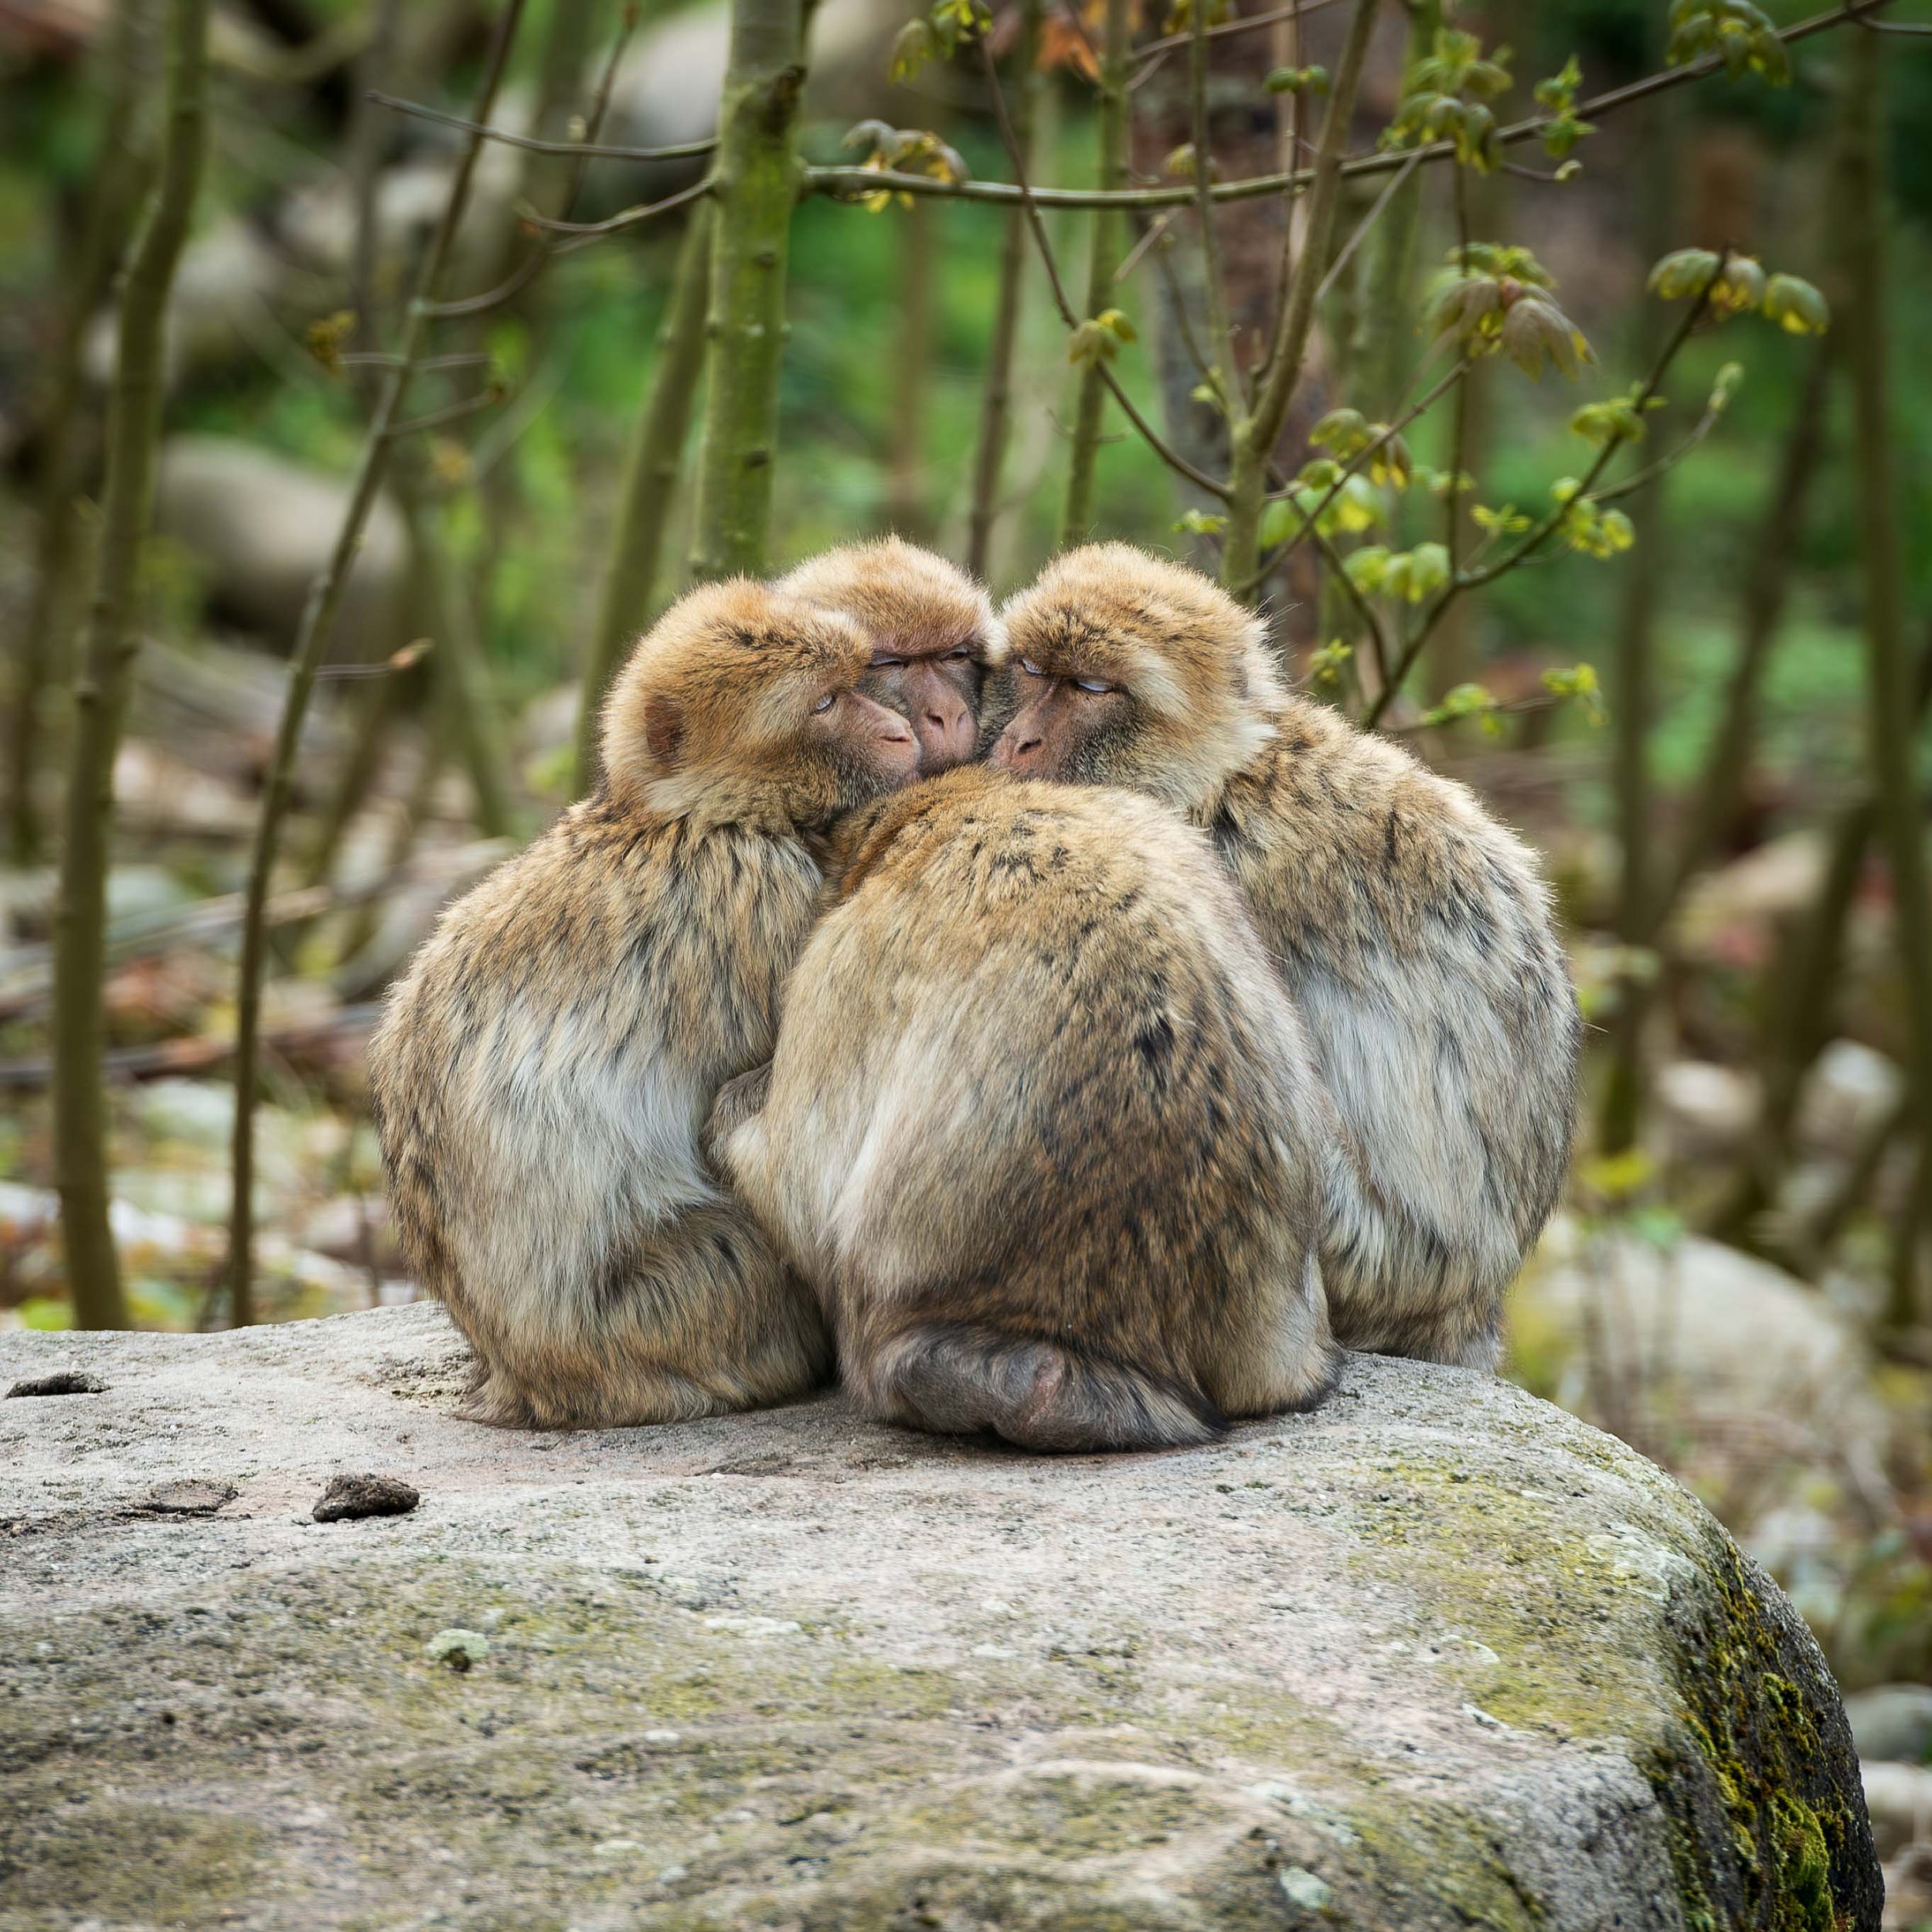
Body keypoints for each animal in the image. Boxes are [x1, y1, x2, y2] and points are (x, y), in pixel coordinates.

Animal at [368, 580, 920, 1429]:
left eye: (859, 682)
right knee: (735, 1250)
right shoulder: (765, 895)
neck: (684, 817)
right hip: (668, 1317)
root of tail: (523, 1379)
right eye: (828, 702)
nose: (900, 730)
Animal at [991, 543, 1580, 1373]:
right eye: (1033, 670)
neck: (1221, 776)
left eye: (1094, 690)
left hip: (1362, 1253)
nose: (1020, 741)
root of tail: (1470, 1302)